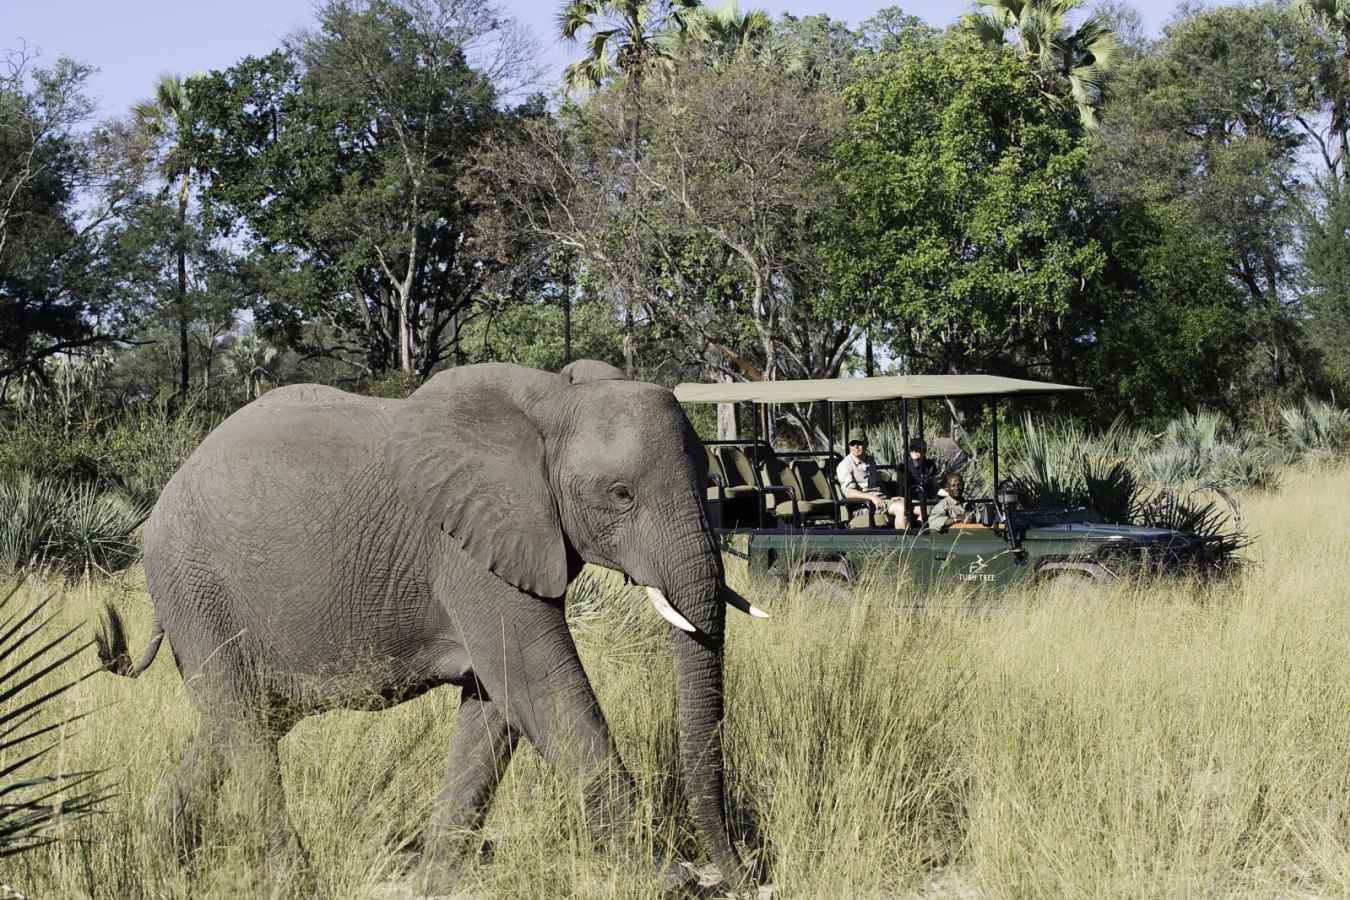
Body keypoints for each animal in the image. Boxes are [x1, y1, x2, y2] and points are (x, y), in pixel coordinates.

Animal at [95, 360, 767, 891]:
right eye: (621, 495)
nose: (741, 875)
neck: (553, 402)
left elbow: (496, 705)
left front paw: (438, 883)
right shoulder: (465, 549)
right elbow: (540, 686)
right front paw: (667, 881)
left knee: (241, 721)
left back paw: (157, 858)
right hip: (194, 586)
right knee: (243, 725)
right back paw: (293, 881)